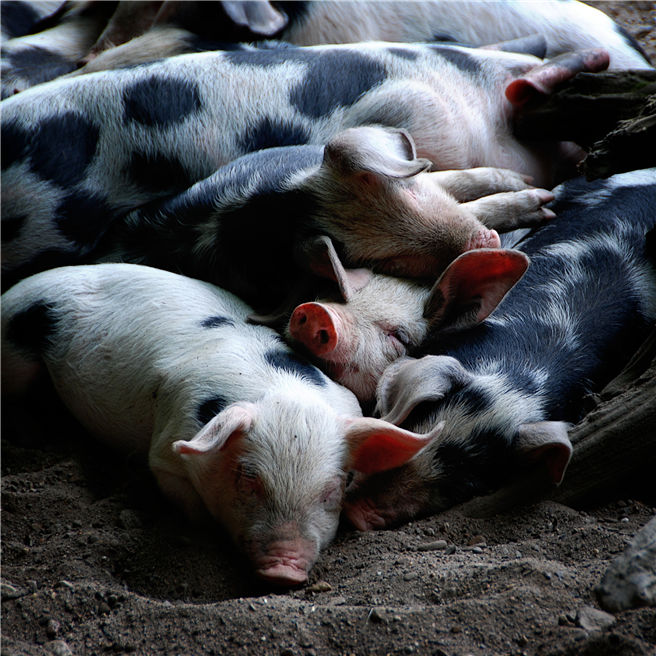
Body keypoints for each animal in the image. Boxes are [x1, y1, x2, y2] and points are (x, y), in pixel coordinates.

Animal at [0, 41, 603, 290]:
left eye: (406, 192)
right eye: (386, 259)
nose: (486, 248)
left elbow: (455, 182)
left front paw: (529, 193)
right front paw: (539, 204)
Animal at [0, 262, 445, 584]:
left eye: (334, 489)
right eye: (247, 479)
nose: (284, 569)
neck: (283, 394)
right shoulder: (165, 450)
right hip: (15, 355)